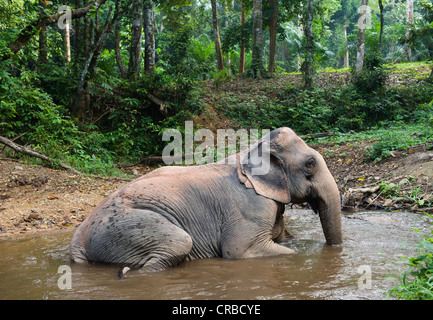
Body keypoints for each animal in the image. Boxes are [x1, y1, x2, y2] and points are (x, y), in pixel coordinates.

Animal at [70, 127, 340, 276]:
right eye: (310, 164)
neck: (249, 152)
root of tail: (78, 240)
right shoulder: (249, 207)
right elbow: (241, 251)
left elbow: (287, 239)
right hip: (125, 227)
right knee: (179, 243)